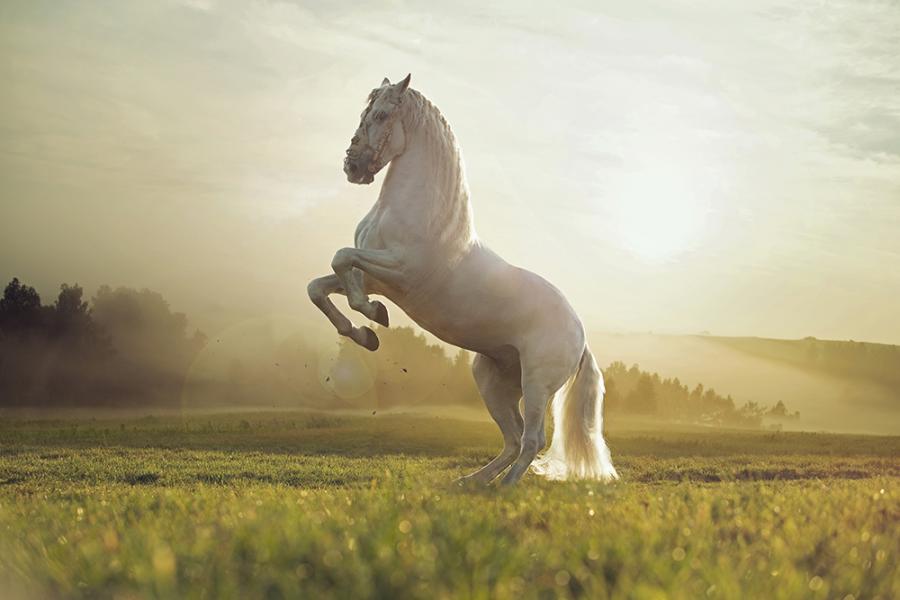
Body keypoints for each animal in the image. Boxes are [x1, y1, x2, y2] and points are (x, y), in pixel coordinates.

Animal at [306, 76, 616, 488]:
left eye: (382, 114)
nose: (352, 166)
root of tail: (580, 335)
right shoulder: (373, 277)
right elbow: (320, 285)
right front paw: (364, 333)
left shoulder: (400, 271)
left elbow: (341, 260)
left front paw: (373, 317)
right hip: (492, 380)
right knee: (513, 438)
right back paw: (471, 482)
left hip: (537, 384)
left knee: (532, 439)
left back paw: (504, 489)